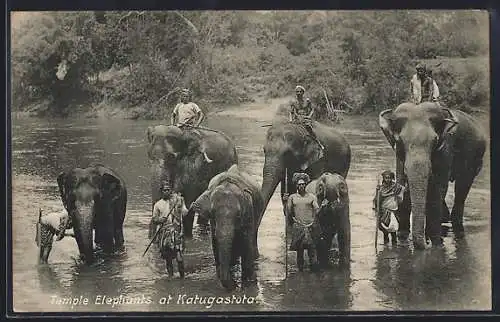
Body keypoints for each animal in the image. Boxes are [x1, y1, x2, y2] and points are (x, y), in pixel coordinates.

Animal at [378, 102, 484, 249]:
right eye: (400, 142)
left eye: (435, 141)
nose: (424, 244)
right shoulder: (399, 155)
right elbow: (402, 182)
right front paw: (403, 238)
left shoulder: (446, 147)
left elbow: (438, 188)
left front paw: (436, 243)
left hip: (475, 158)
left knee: (462, 187)